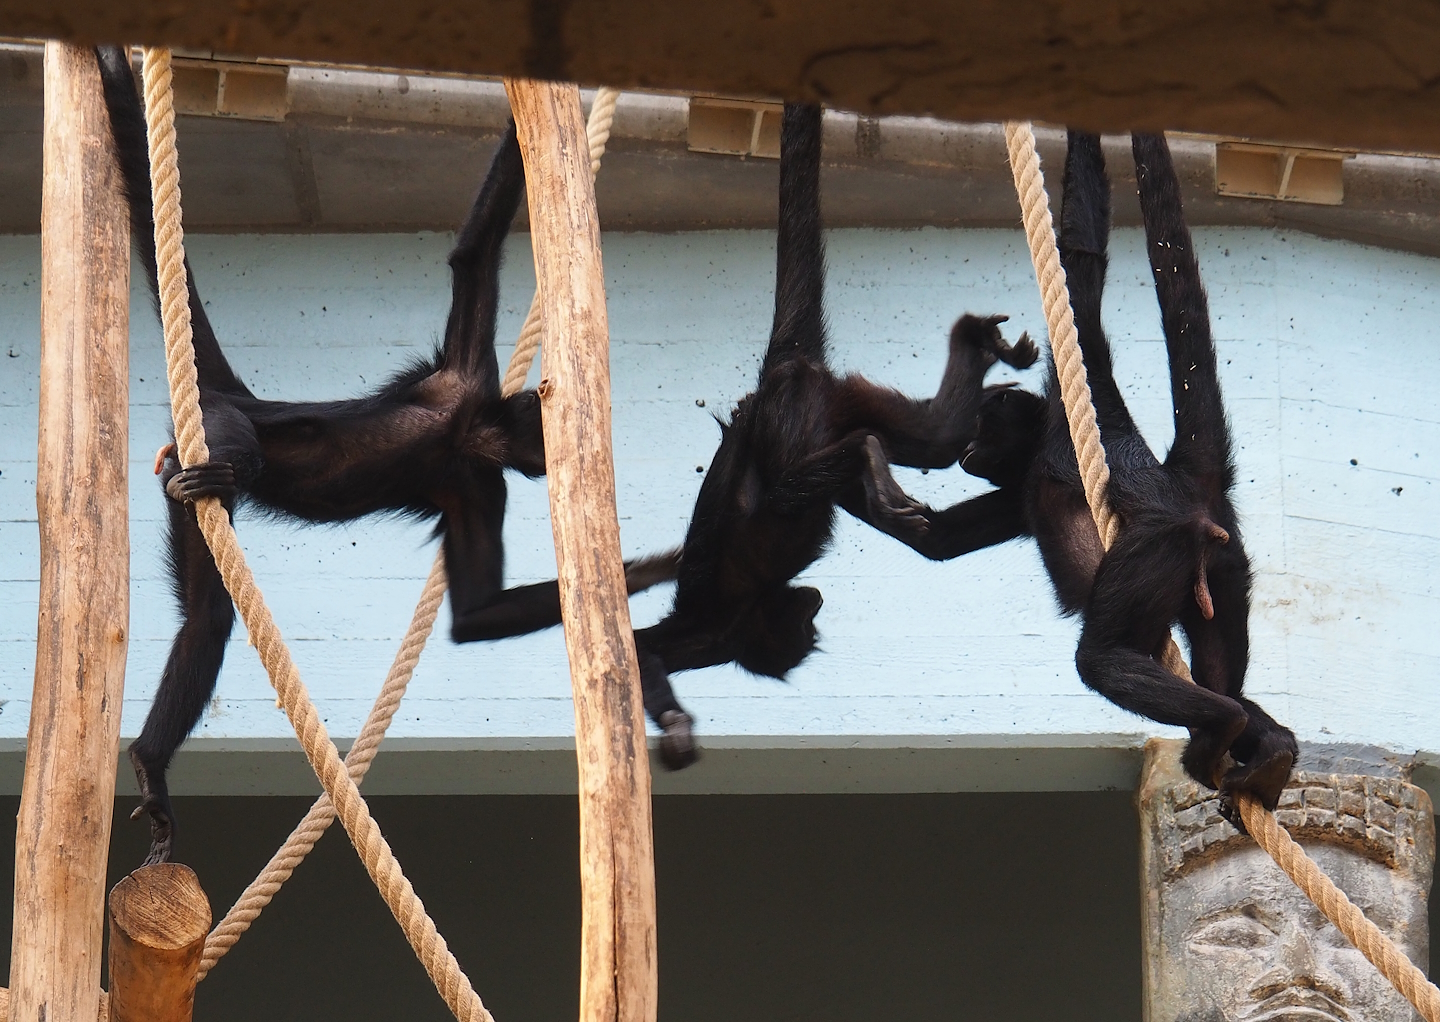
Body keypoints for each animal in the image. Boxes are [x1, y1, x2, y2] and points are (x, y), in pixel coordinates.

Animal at [97, 47, 677, 863]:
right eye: (544, 444)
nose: (546, 465)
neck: (470, 430)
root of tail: (232, 398)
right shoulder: (466, 374)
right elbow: (473, 252)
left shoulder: (479, 483)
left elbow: (476, 615)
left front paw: (651, 571)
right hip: (216, 425)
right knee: (234, 469)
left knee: (205, 619)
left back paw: (150, 761)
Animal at [635, 102, 1038, 769]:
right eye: (806, 629)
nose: (816, 608)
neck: (748, 611)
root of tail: (783, 369)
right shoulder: (712, 640)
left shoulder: (706, 635)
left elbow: (646, 649)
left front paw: (673, 728)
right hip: (837, 402)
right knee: (934, 439)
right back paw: (972, 348)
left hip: (792, 418)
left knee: (788, 490)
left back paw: (867, 456)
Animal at [856, 129, 1297, 812]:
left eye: (982, 424)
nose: (966, 450)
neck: (1039, 447)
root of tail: (1189, 486)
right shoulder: (1017, 489)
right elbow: (938, 540)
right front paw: (871, 482)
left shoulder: (1068, 407)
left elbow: (1083, 262)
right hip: (1225, 569)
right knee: (1223, 672)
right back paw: (1271, 749)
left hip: (1160, 548)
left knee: (1105, 659)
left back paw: (1224, 724)